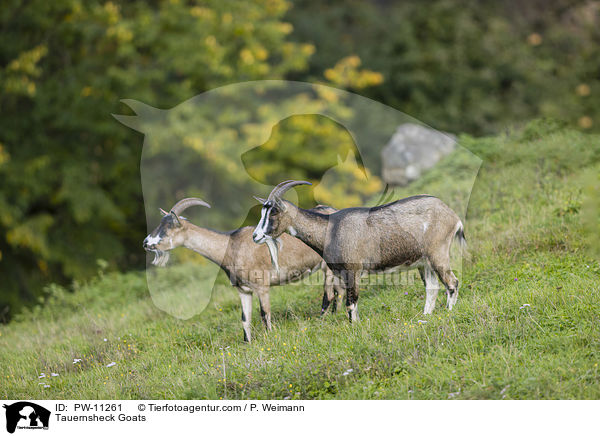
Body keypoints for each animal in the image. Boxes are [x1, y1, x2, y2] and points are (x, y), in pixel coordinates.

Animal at [251, 180, 466, 320]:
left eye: (273, 212)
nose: (255, 236)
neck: (330, 229)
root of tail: (452, 215)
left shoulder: (352, 271)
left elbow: (351, 303)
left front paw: (354, 328)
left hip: (438, 253)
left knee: (452, 283)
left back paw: (448, 312)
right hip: (424, 262)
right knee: (433, 287)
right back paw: (425, 316)